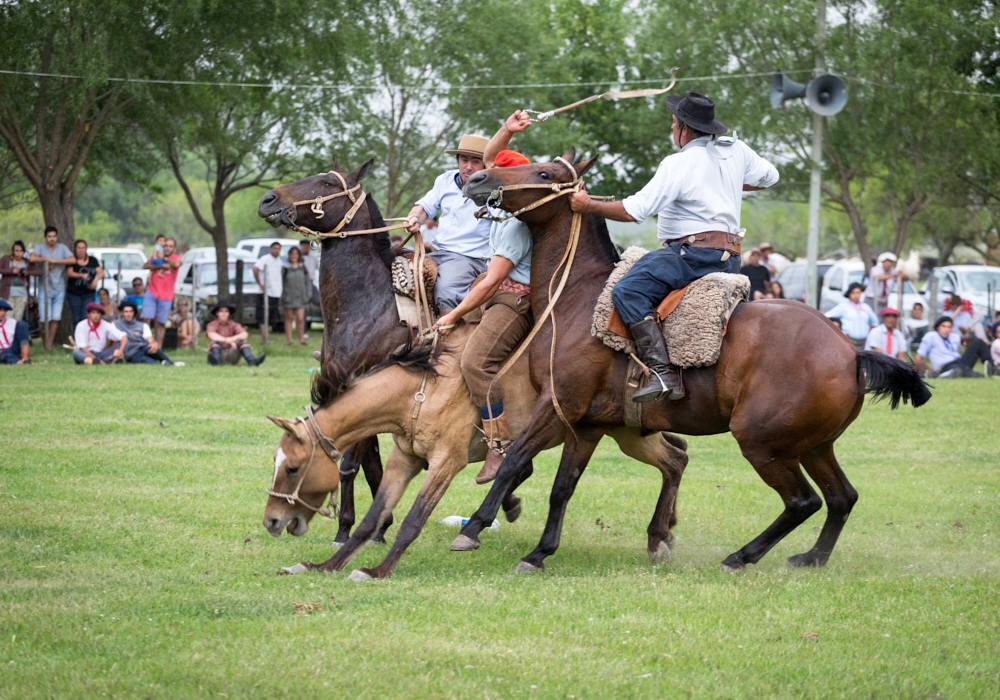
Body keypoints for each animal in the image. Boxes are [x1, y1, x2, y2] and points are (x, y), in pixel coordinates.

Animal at [454, 152, 928, 576]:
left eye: (544, 173)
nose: (477, 180)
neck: (576, 296)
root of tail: (850, 352)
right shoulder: (585, 424)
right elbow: (562, 487)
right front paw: (539, 552)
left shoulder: (558, 405)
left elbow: (515, 460)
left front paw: (474, 527)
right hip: (814, 445)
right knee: (842, 497)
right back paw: (811, 558)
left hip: (764, 444)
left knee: (803, 502)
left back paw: (741, 557)